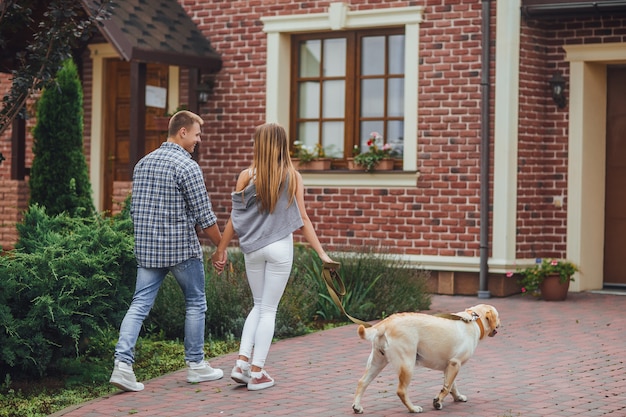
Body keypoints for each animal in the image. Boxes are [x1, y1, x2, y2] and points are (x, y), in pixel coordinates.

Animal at [352, 302, 498, 412]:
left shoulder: (450, 366)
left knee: (362, 382)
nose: (499, 324)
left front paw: (457, 397)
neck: (474, 320)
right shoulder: (455, 363)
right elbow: (447, 387)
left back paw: (357, 407)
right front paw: (438, 402)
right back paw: (413, 409)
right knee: (401, 391)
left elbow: (451, 385)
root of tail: (385, 323)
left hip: (377, 362)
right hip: (407, 365)